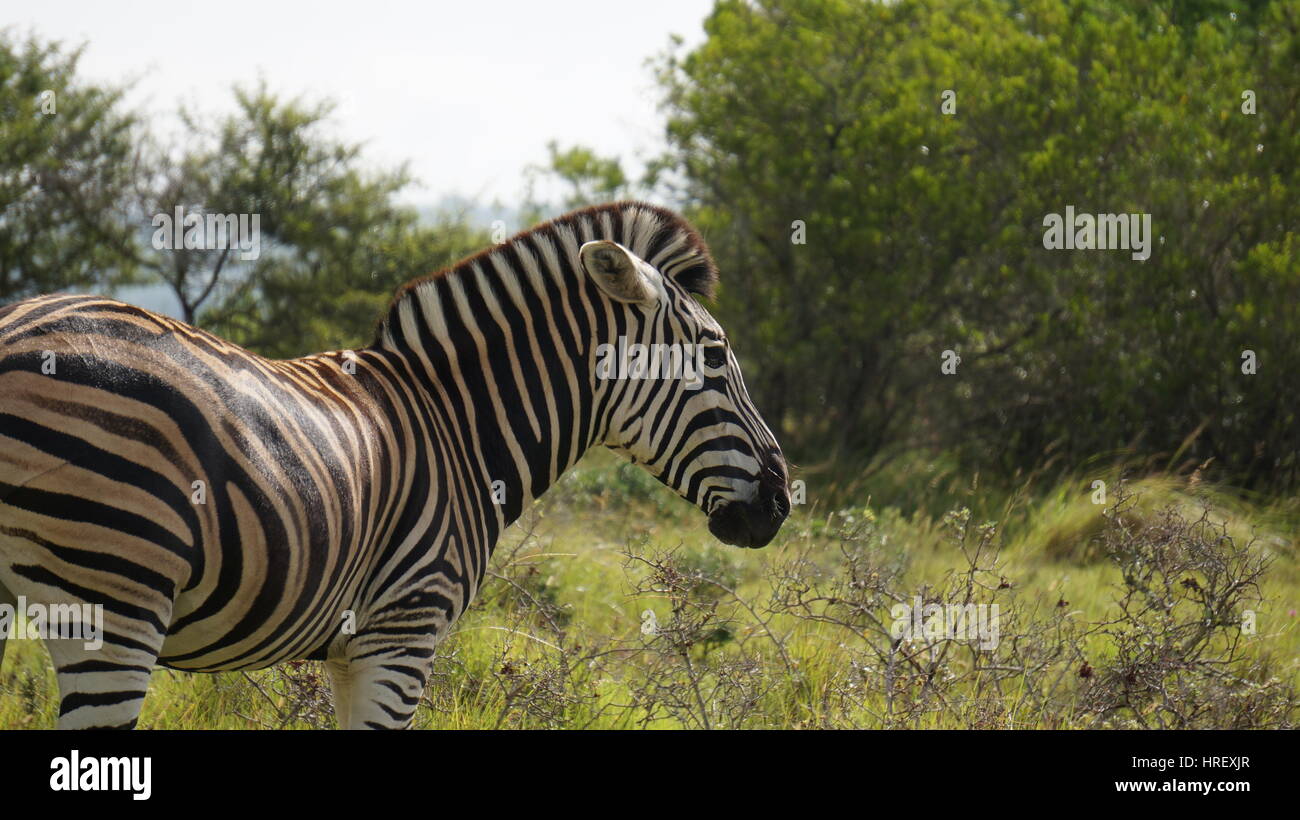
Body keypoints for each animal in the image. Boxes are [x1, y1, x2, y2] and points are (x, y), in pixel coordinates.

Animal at [0, 201, 790, 729]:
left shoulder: (353, 648)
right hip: (114, 594)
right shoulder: (402, 634)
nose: (781, 503)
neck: (458, 427)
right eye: (715, 356)